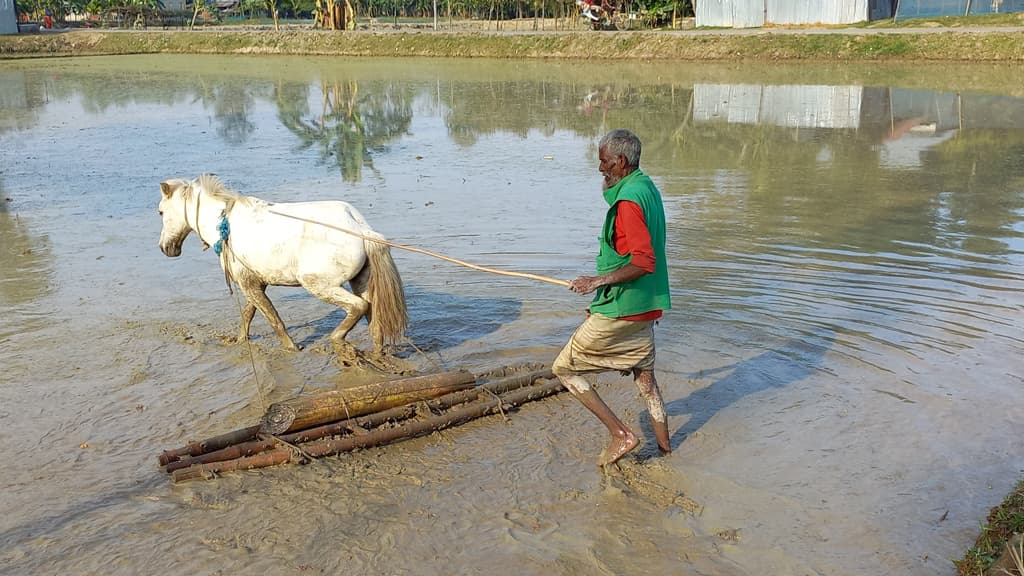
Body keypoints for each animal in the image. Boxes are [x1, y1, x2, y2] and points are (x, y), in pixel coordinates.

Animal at [157, 172, 405, 350]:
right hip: (361, 282)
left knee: (358, 306)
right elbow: (248, 314)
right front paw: (240, 341)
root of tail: (362, 230)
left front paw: (291, 348)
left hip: (317, 284)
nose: (165, 248)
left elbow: (273, 319)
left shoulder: (247, 283)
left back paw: (336, 338)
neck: (223, 224)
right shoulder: (256, 281)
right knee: (374, 319)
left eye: (160, 212)